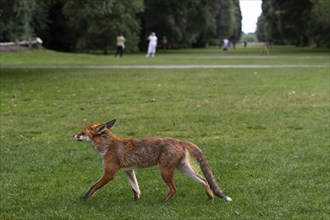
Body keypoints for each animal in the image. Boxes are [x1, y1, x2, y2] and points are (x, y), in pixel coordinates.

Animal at [73, 119, 232, 202]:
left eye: (82, 132)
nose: (74, 135)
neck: (108, 146)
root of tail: (179, 141)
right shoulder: (129, 171)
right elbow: (135, 188)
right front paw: (136, 201)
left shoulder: (109, 173)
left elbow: (93, 187)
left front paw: (84, 199)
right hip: (184, 169)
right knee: (204, 180)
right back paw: (210, 198)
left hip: (164, 171)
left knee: (174, 189)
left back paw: (163, 202)